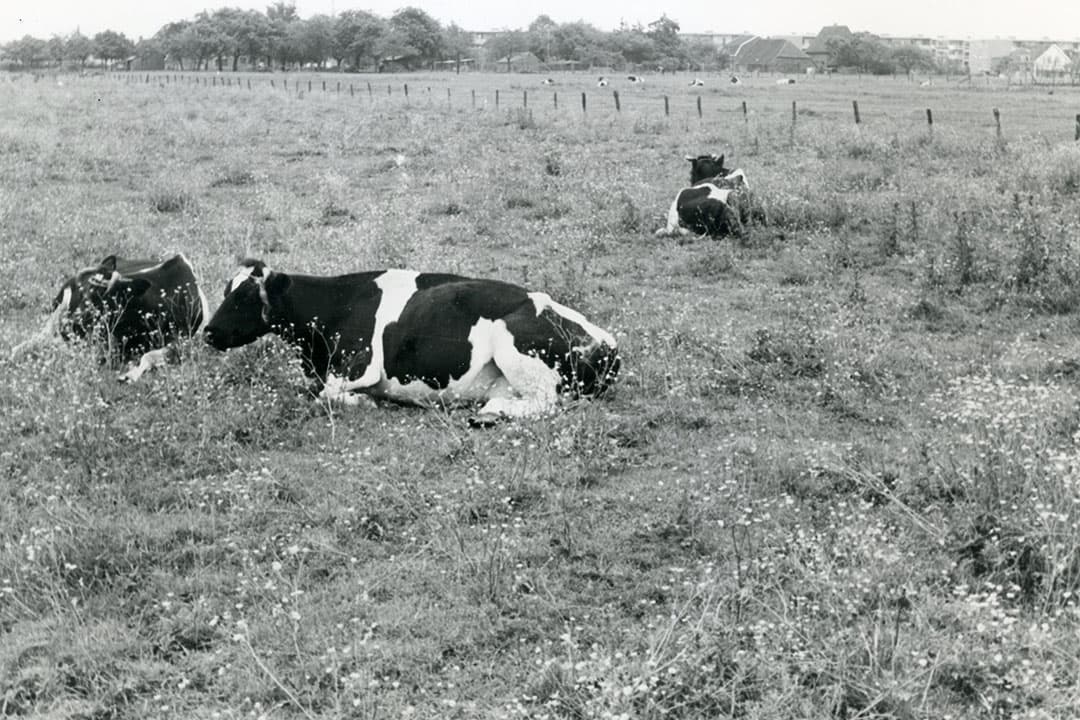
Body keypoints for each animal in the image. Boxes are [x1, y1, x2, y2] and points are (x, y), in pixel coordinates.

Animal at [10, 254, 208, 382]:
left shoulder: (184, 341)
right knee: (44, 333)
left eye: (101, 297)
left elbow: (150, 355)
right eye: (80, 292)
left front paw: (131, 374)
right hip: (60, 305)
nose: (68, 326)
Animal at [203, 261, 621, 420]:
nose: (207, 331)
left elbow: (327, 395)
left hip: (514, 347)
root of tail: (606, 342)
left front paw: (366, 402)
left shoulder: (358, 368)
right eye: (225, 291)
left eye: (242, 298)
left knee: (545, 402)